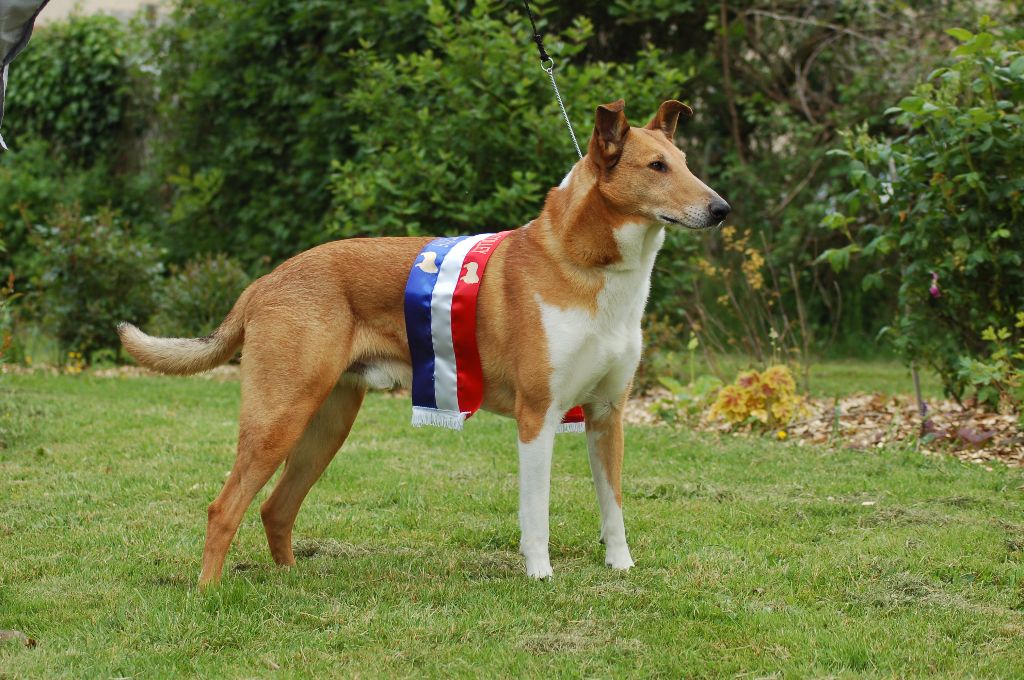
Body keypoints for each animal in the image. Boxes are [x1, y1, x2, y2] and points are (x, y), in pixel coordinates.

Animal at [118, 99, 729, 584]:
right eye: (656, 166)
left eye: (686, 164)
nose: (721, 209)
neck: (593, 270)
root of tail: (265, 281)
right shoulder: (540, 415)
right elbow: (536, 511)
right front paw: (540, 576)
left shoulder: (606, 414)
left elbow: (614, 507)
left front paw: (621, 569)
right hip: (278, 417)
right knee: (224, 508)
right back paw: (209, 594)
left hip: (326, 423)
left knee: (276, 507)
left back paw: (290, 580)